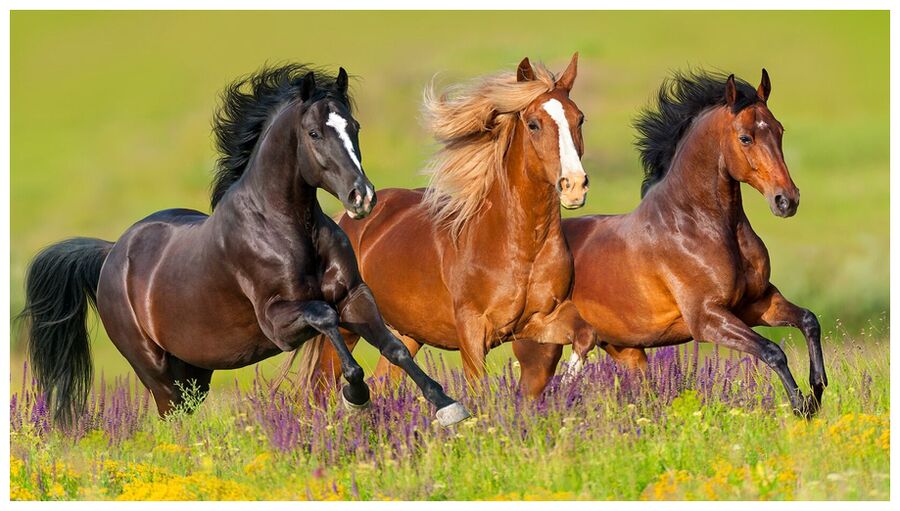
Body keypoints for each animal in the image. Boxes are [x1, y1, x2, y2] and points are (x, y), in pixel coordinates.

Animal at [20, 63, 470, 428]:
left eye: (354, 127)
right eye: (314, 133)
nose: (363, 197)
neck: (288, 229)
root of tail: (112, 254)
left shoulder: (355, 296)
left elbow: (395, 348)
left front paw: (448, 406)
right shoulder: (279, 322)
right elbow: (325, 317)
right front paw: (356, 397)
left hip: (195, 373)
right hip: (157, 373)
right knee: (172, 421)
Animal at [302, 54, 596, 396]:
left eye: (579, 119)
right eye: (534, 124)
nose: (574, 186)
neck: (520, 247)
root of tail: (344, 220)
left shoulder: (539, 321)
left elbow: (585, 335)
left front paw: (564, 388)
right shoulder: (472, 332)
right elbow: (479, 389)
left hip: (406, 333)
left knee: (384, 381)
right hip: (348, 324)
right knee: (322, 386)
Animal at [513, 70, 827, 417]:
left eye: (779, 130)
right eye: (746, 137)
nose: (786, 200)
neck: (697, 225)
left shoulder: (756, 303)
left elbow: (809, 321)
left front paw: (817, 389)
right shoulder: (707, 319)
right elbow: (772, 351)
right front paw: (802, 406)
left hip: (626, 351)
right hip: (540, 351)